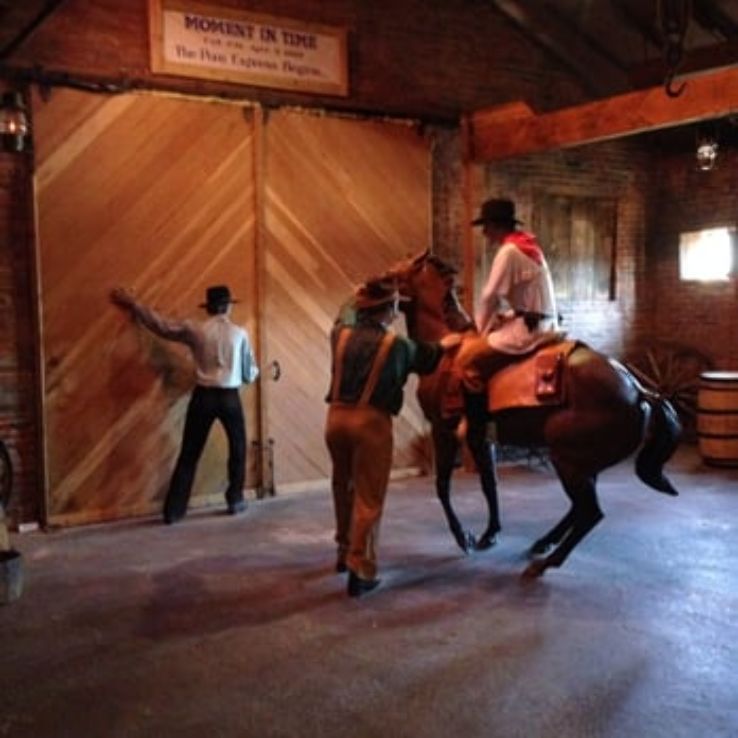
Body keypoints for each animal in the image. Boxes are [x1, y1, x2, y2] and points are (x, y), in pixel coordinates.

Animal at [386, 250, 681, 578]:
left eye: (396, 272)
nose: (376, 286)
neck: (446, 347)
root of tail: (638, 390)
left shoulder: (443, 429)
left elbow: (442, 486)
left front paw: (464, 537)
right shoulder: (482, 439)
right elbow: (489, 484)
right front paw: (490, 534)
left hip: (566, 459)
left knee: (590, 513)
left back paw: (546, 561)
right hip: (581, 464)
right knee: (579, 509)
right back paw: (543, 543)